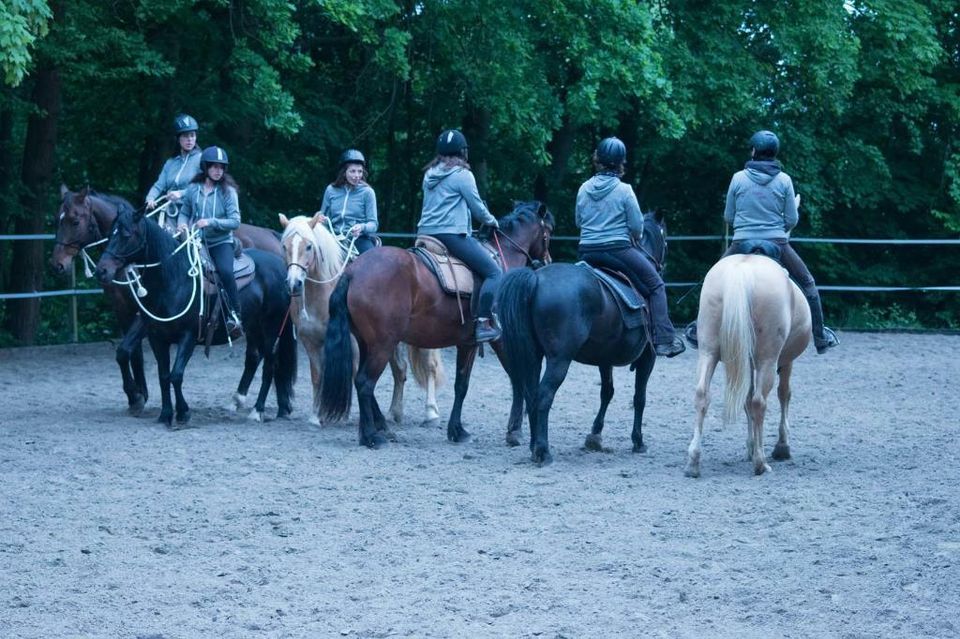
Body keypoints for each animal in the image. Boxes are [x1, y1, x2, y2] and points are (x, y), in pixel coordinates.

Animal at [52, 185, 284, 416]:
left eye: (75, 221)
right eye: (58, 219)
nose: (58, 264)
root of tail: (273, 237)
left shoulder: (144, 318)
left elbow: (126, 351)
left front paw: (137, 396)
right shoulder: (125, 313)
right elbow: (130, 354)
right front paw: (138, 395)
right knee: (256, 356)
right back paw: (243, 400)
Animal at [94, 202, 296, 428]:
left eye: (126, 235)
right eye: (110, 234)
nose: (101, 270)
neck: (174, 280)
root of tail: (280, 266)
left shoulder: (188, 336)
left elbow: (176, 375)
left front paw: (183, 413)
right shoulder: (157, 338)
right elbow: (163, 375)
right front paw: (165, 414)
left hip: (271, 327)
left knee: (270, 364)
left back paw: (257, 410)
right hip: (254, 329)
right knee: (262, 360)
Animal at [320, 202, 552, 448]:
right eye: (548, 231)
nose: (546, 261)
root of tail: (353, 272)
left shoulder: (470, 343)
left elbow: (466, 384)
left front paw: (460, 430)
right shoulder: (493, 340)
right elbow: (486, 382)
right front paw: (507, 430)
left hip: (367, 343)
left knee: (361, 381)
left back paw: (378, 429)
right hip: (383, 345)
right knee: (365, 383)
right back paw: (372, 436)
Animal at [498, 210, 672, 464]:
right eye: (665, 239)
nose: (661, 267)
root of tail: (536, 279)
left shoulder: (605, 360)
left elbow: (607, 392)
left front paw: (595, 436)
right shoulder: (648, 357)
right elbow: (639, 398)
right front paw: (638, 441)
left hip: (533, 354)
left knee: (531, 395)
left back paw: (533, 446)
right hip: (559, 359)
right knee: (543, 395)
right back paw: (543, 451)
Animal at [684, 252, 808, 478]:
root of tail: (741, 270)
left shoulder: (745, 362)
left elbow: (746, 399)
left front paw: (750, 447)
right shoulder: (785, 361)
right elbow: (783, 394)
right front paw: (782, 446)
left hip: (708, 351)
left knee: (702, 395)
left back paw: (693, 462)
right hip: (768, 359)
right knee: (759, 402)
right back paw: (760, 462)